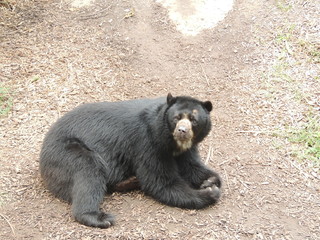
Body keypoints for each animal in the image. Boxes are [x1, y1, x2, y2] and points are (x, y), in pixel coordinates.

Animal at [38, 94, 221, 229]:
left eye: (194, 120)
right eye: (176, 118)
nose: (182, 131)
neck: (172, 142)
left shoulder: (185, 149)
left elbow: (191, 166)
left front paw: (210, 181)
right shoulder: (148, 142)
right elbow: (161, 182)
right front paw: (209, 193)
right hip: (65, 153)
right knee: (88, 171)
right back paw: (99, 217)